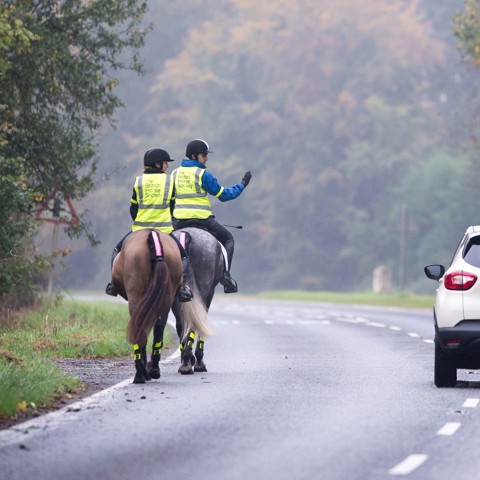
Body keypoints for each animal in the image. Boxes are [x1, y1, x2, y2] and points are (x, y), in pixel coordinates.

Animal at [172, 227, 225, 374]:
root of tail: (187, 235)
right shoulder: (209, 294)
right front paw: (198, 361)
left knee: (182, 323)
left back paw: (186, 361)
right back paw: (189, 362)